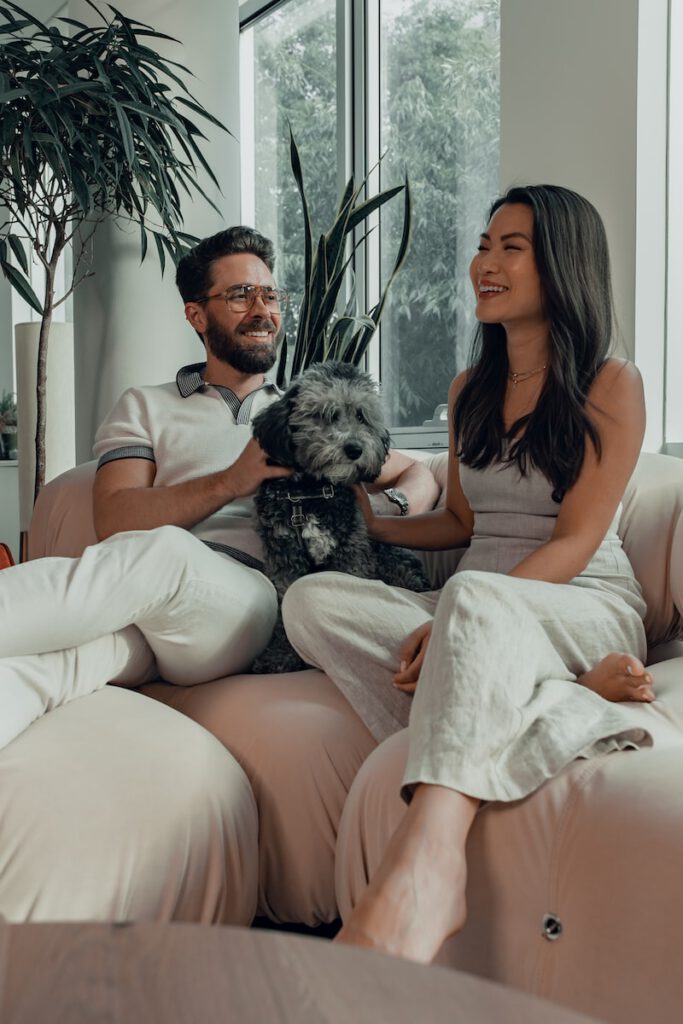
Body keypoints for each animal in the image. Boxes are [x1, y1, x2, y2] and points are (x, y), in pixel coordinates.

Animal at [250, 356, 432, 675]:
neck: (310, 493)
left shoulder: (351, 553)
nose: (355, 448)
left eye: (362, 416)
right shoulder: (285, 559)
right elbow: (284, 606)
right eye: (325, 413)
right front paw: (280, 655)